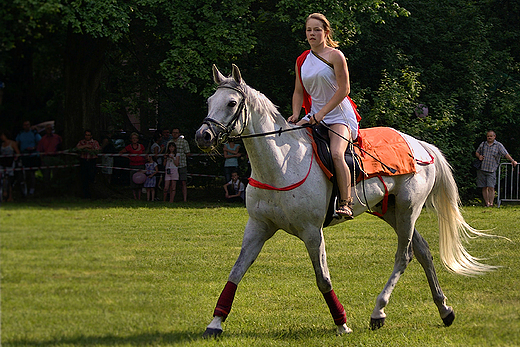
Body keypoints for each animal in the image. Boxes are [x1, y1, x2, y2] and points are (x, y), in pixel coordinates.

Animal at [195, 64, 496, 338]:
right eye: (209, 102)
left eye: (232, 102)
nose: (203, 135)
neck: (280, 164)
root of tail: (422, 146)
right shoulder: (257, 228)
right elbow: (235, 272)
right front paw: (215, 323)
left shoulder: (312, 232)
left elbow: (323, 280)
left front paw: (342, 323)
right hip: (391, 211)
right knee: (422, 251)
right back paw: (444, 310)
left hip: (409, 209)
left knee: (405, 255)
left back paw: (379, 312)